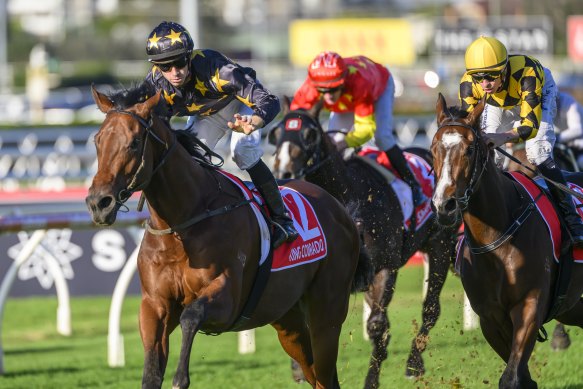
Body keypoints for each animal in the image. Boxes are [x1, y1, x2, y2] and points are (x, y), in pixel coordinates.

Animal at [85, 85, 370, 388]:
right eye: (98, 141)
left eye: (135, 142)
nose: (98, 203)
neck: (184, 221)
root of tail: (340, 209)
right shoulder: (154, 305)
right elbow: (151, 373)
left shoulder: (228, 298)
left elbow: (191, 316)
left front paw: (180, 376)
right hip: (288, 320)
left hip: (327, 314)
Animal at [270, 98, 460, 386]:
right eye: (276, 133)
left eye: (310, 134)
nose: (284, 171)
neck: (348, 197)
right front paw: (299, 369)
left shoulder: (385, 267)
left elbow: (376, 325)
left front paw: (371, 378)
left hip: (439, 245)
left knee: (430, 309)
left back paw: (414, 364)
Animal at [432, 92, 583, 386]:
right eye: (434, 148)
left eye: (469, 149)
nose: (445, 205)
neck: (496, 237)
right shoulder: (490, 319)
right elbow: (523, 378)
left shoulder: (529, 306)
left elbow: (511, 379)